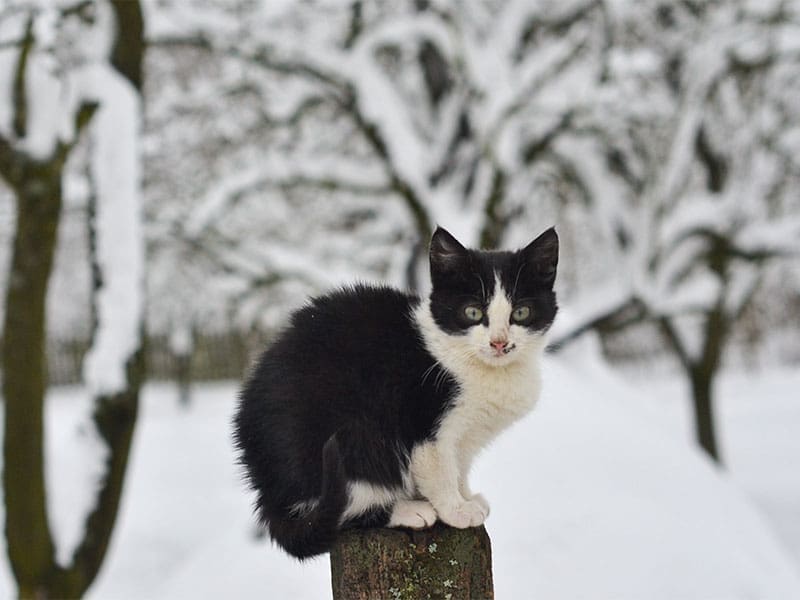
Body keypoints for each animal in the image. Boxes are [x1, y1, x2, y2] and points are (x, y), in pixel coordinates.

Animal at [234, 225, 560, 556]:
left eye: (521, 313)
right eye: (472, 312)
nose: (499, 342)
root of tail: (268, 490)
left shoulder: (466, 434)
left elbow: (459, 463)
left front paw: (466, 497)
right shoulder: (421, 418)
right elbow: (440, 468)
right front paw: (456, 510)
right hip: (350, 434)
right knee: (345, 509)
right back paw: (408, 510)